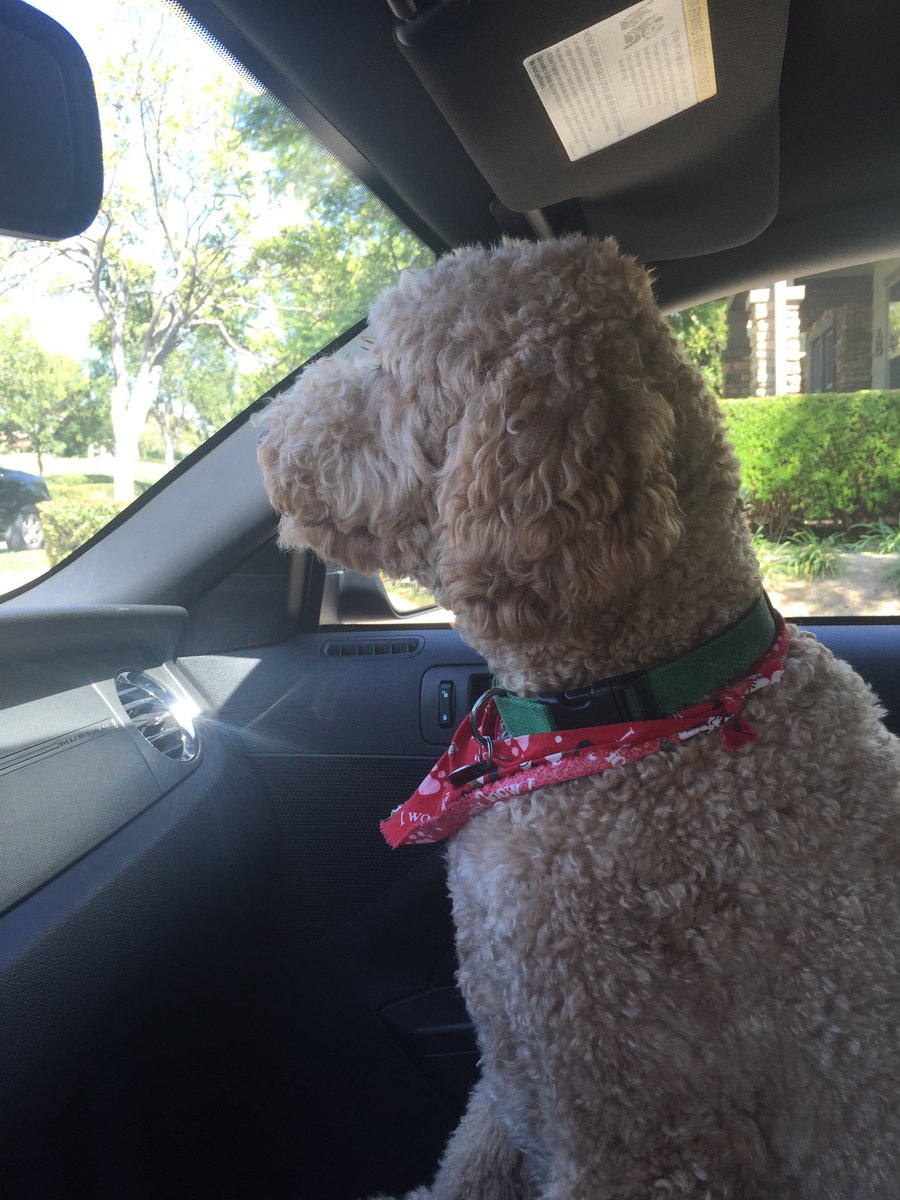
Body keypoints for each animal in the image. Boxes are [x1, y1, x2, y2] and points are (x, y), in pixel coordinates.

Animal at [259, 236, 900, 1200]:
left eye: (389, 365)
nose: (265, 437)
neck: (653, 706)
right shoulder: (508, 1072)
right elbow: (467, 1163)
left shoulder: (642, 1133)